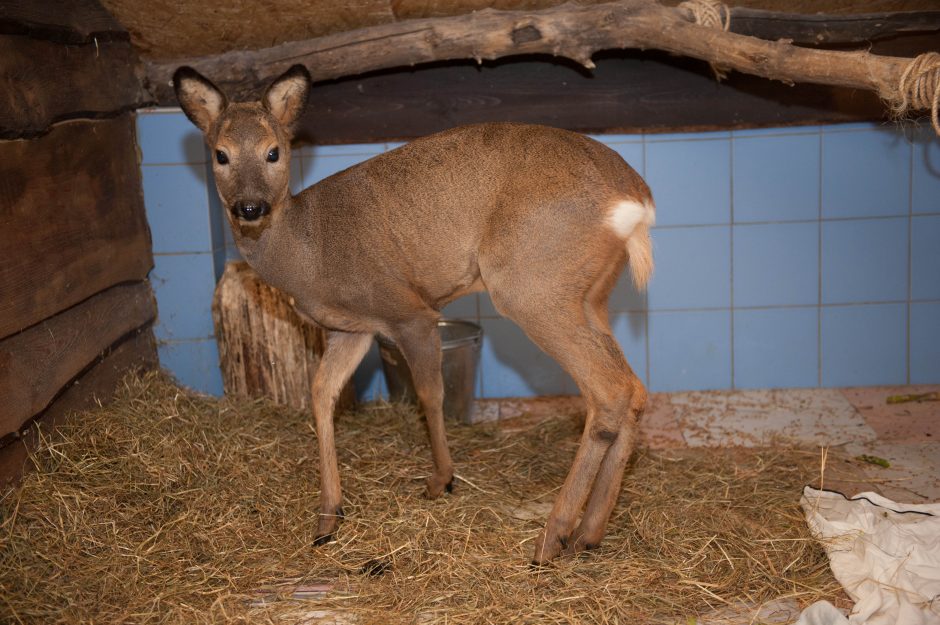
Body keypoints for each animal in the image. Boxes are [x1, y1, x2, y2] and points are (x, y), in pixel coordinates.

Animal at [176, 64, 656, 564]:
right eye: (220, 154)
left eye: (274, 151)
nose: (250, 207)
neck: (309, 251)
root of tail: (635, 199)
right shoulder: (353, 330)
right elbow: (321, 394)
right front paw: (328, 516)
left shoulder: (409, 312)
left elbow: (429, 393)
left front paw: (441, 479)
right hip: (590, 295)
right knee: (634, 389)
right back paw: (588, 533)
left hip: (533, 287)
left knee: (610, 391)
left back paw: (551, 538)